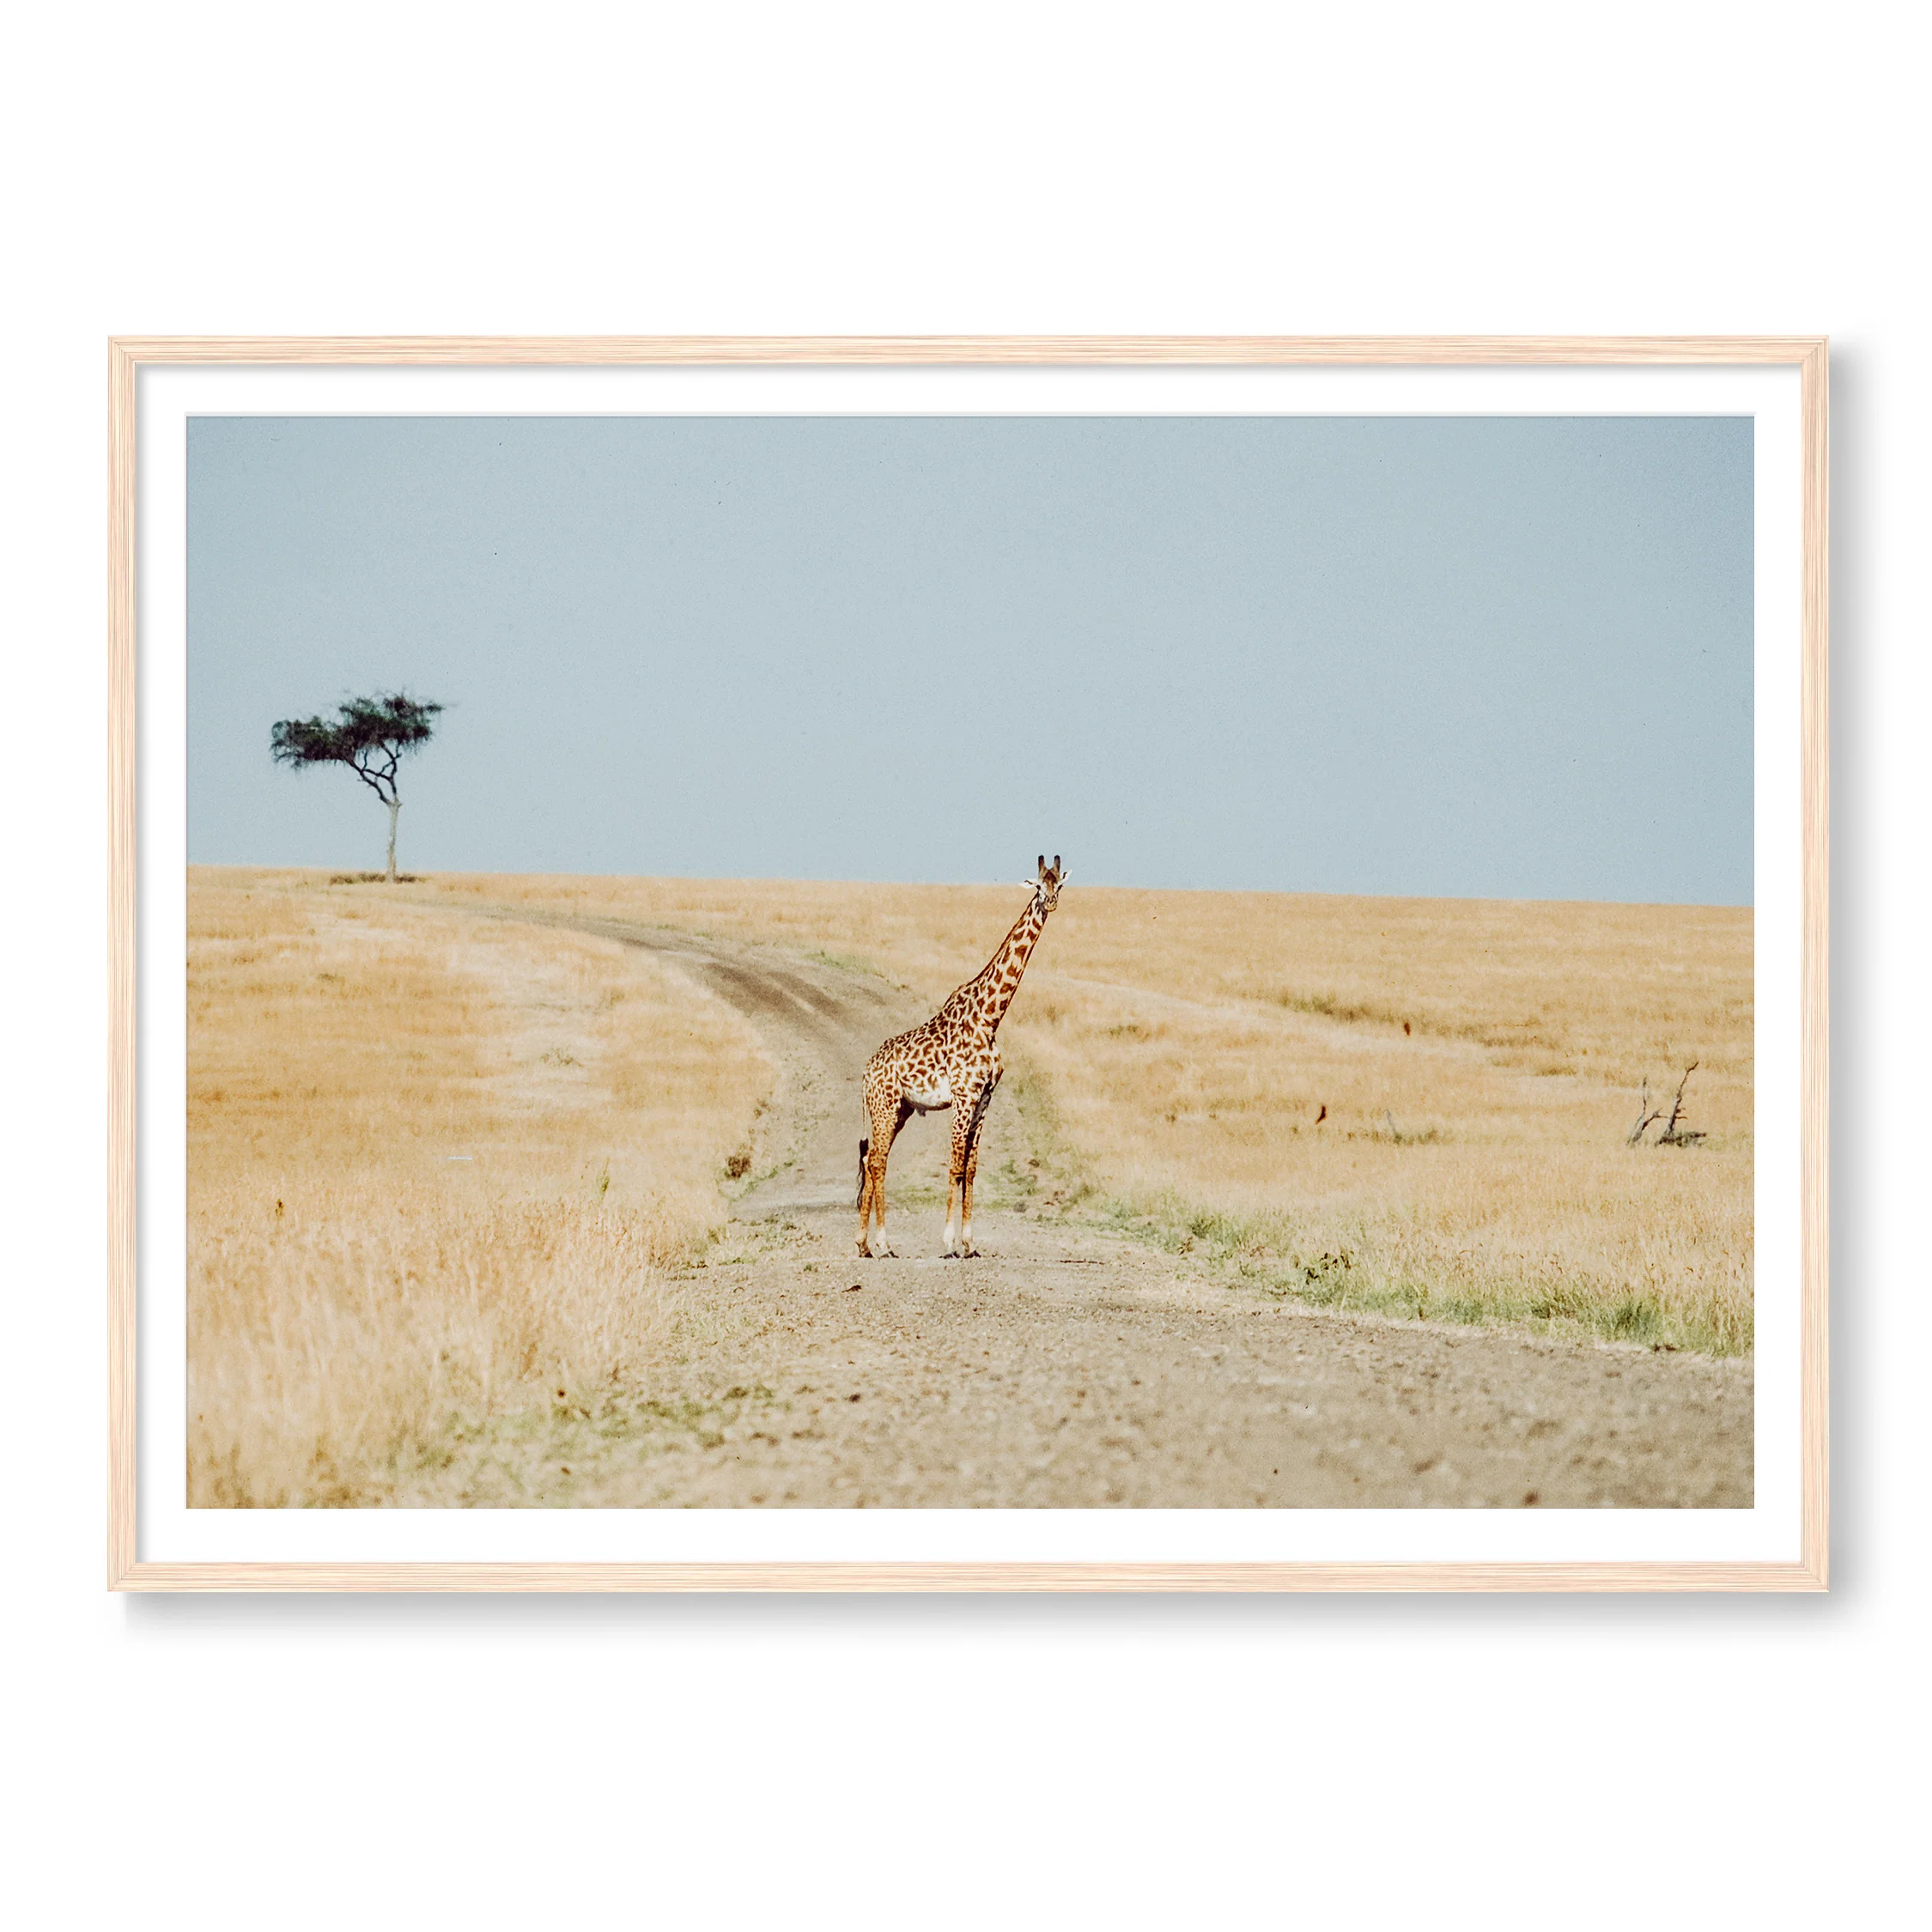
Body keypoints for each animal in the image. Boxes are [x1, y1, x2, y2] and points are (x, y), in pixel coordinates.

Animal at [856, 855, 1067, 1259]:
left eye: (1059, 885)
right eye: (1037, 885)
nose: (1050, 903)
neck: (990, 1017)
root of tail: (866, 1071)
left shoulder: (984, 1098)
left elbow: (970, 1168)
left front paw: (970, 1243)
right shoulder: (963, 1096)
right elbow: (954, 1165)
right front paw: (950, 1242)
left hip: (900, 1109)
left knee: (870, 1159)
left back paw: (863, 1245)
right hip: (884, 1106)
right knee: (876, 1162)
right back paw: (883, 1244)